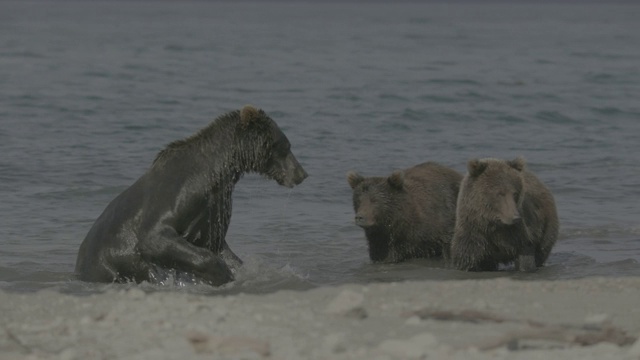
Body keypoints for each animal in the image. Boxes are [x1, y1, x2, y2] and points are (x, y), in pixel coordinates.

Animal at [74, 105, 308, 286]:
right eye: (286, 146)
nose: (302, 173)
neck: (216, 173)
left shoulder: (212, 211)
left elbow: (217, 245)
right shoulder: (174, 198)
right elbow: (155, 237)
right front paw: (223, 274)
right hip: (104, 264)